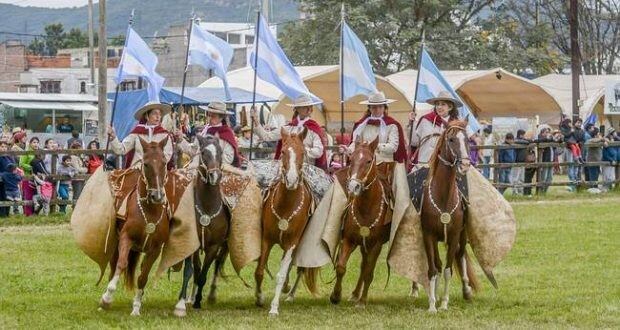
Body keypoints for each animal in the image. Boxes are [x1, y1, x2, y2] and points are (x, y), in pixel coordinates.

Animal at [99, 136, 172, 314]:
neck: (149, 211)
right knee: (114, 267)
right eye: (146, 164)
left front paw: (136, 307)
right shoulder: (126, 238)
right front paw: (107, 297)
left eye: (164, 162)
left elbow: (143, 276)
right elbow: (121, 264)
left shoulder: (155, 249)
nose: (157, 196)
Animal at [173, 134, 229, 318]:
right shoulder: (194, 245)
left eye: (220, 152)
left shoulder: (214, 246)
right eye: (204, 153)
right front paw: (183, 302)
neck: (207, 207)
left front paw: (198, 301)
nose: (215, 176)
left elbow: (203, 273)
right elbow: (193, 271)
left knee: (216, 266)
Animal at [253, 127, 318, 316]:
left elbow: (281, 275)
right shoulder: (266, 239)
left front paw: (274, 308)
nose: (291, 180)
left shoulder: (292, 242)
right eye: (283, 152)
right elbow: (259, 270)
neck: (286, 207)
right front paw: (259, 298)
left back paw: (290, 294)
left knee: (300, 269)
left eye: (303, 152)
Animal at [330, 137, 392, 306]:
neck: (366, 209)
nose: (353, 186)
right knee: (363, 265)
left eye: (369, 161)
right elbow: (341, 267)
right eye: (351, 160)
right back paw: (354, 294)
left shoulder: (376, 245)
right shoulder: (348, 239)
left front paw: (363, 302)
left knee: (366, 268)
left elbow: (369, 272)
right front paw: (335, 295)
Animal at [422, 118, 480, 312]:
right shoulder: (429, 236)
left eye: (467, 140)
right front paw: (432, 304)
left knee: (460, 257)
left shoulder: (454, 235)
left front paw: (444, 304)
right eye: (452, 140)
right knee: (439, 265)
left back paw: (466, 290)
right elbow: (433, 269)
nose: (465, 164)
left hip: (462, 236)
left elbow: (448, 270)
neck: (443, 197)